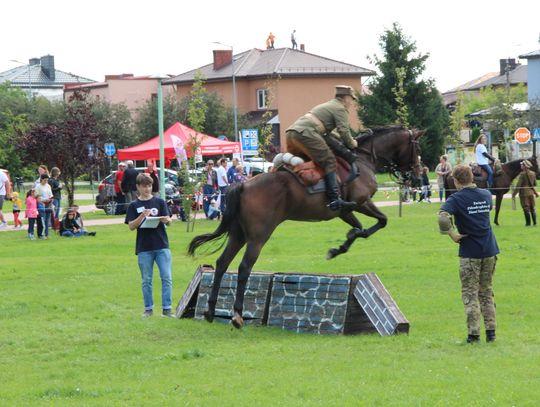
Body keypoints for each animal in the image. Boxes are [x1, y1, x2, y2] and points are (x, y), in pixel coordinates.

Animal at [188, 126, 424, 330]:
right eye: (417, 150)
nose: (415, 176)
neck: (363, 159)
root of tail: (244, 183)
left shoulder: (344, 210)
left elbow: (360, 229)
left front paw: (338, 248)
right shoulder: (361, 202)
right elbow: (381, 221)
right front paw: (341, 245)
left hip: (239, 234)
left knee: (222, 263)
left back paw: (210, 311)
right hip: (258, 236)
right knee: (244, 267)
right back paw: (237, 315)